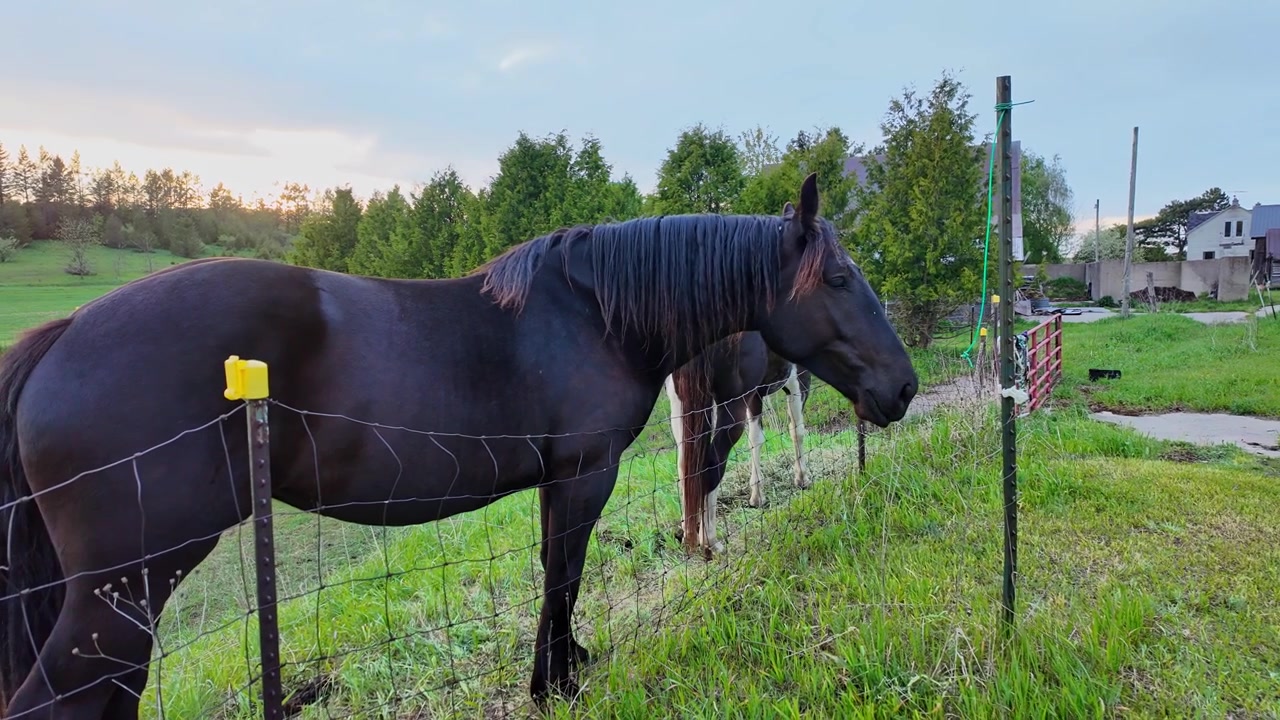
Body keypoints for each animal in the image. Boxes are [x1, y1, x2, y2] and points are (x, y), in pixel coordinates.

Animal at [664, 332, 812, 556]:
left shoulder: (756, 395)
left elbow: (756, 439)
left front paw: (757, 497)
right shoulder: (798, 378)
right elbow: (797, 430)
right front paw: (802, 478)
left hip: (682, 409)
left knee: (685, 467)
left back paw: (687, 530)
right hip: (731, 407)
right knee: (712, 463)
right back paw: (710, 541)